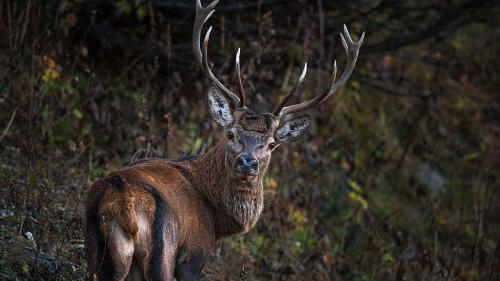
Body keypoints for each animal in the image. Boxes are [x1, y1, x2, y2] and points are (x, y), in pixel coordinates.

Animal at [85, 0, 364, 278]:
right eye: (231, 134)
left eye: (271, 144)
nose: (247, 163)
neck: (216, 219)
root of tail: (122, 205)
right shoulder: (194, 254)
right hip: (162, 253)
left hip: (95, 248)